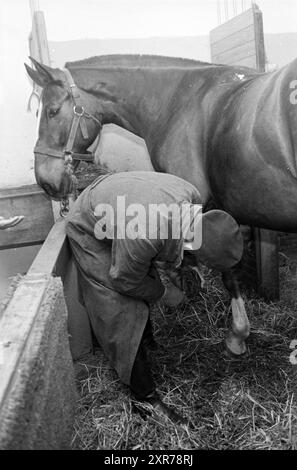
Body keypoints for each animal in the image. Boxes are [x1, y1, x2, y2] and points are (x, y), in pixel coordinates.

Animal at [24, 55, 296, 356]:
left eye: (52, 111)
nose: (45, 181)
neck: (179, 100)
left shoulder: (204, 207)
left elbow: (226, 272)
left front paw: (236, 335)